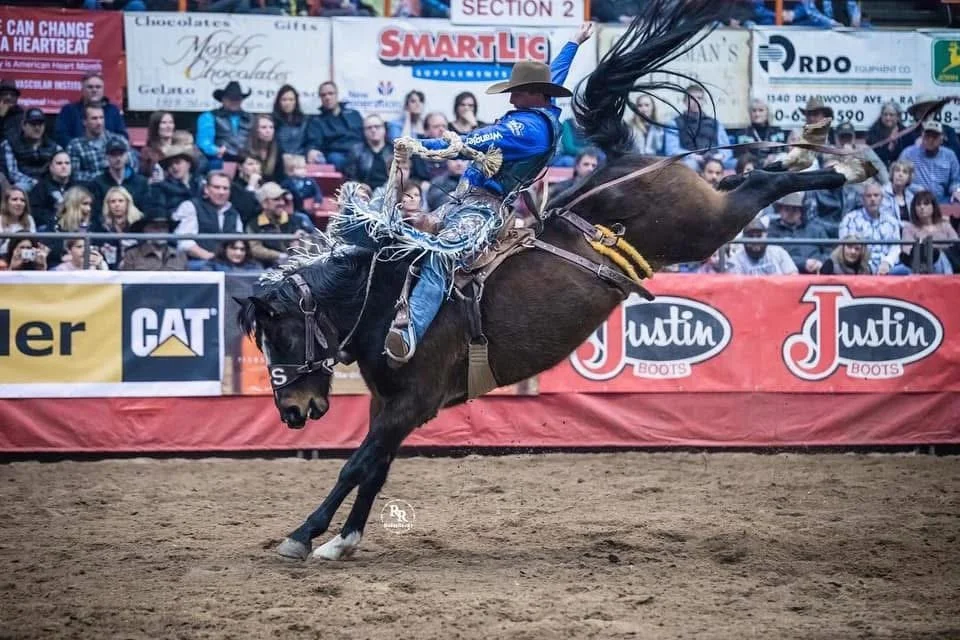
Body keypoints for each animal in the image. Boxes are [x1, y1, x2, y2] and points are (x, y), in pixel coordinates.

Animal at [239, 0, 874, 562]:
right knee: (747, 176)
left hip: (703, 227)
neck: (384, 300)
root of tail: (627, 162)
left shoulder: (410, 402)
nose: (292, 411)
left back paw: (845, 166)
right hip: (707, 209)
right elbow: (374, 469)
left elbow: (356, 464)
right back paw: (810, 154)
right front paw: (342, 541)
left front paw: (302, 536)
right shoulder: (392, 406)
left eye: (283, 334)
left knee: (762, 187)